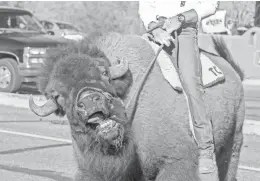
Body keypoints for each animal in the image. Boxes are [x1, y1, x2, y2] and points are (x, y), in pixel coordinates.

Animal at [29, 32, 245, 181]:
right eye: (58, 97)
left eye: (104, 73)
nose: (90, 101)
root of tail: (232, 72)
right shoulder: (93, 171)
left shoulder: (176, 161)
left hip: (232, 143)